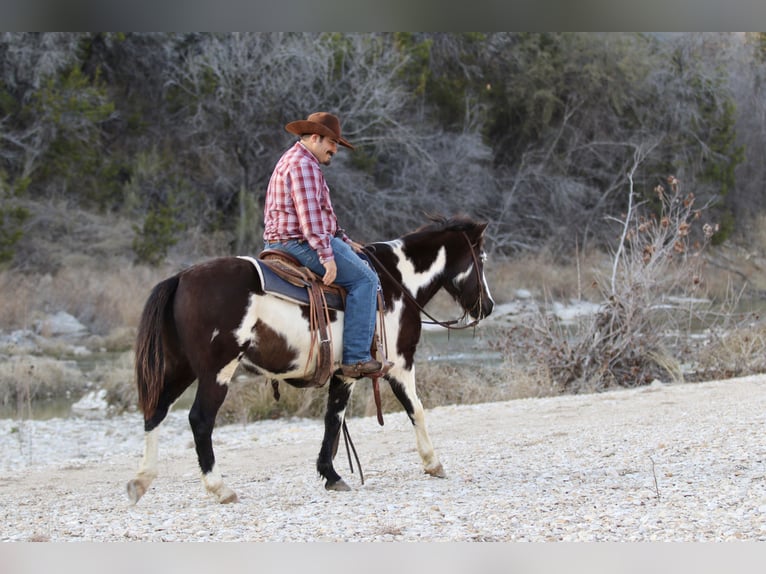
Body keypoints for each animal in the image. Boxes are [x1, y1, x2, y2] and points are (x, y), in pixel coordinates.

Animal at [127, 215, 496, 504]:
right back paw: (220, 489)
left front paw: (330, 474)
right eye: (481, 257)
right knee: (200, 420)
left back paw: (141, 481)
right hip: (216, 371)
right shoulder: (400, 364)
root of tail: (181, 278)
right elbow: (414, 409)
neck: (398, 282)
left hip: (181, 368)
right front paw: (433, 463)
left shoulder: (343, 373)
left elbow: (332, 419)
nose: (488, 306)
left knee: (155, 411)